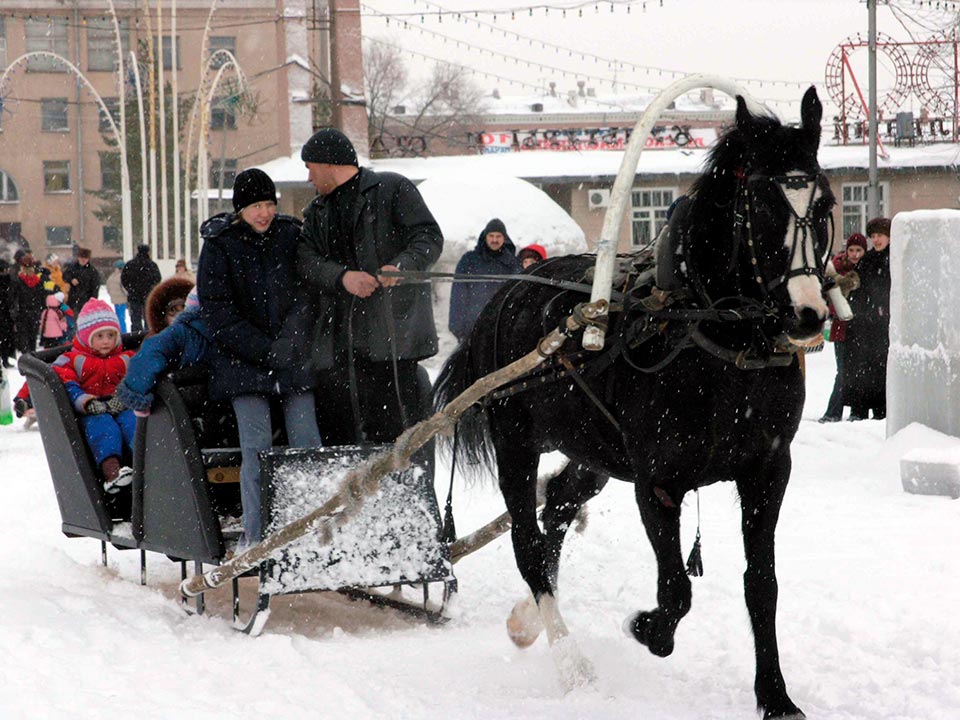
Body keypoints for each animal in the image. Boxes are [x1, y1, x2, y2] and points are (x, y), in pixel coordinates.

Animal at [436, 87, 832, 716]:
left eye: (822, 205)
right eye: (763, 207)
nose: (808, 314)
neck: (709, 334)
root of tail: (508, 295)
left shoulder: (768, 470)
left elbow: (761, 584)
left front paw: (775, 694)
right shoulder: (658, 481)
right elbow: (676, 589)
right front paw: (646, 627)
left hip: (593, 448)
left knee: (559, 504)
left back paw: (529, 619)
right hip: (516, 441)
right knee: (528, 542)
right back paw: (568, 659)